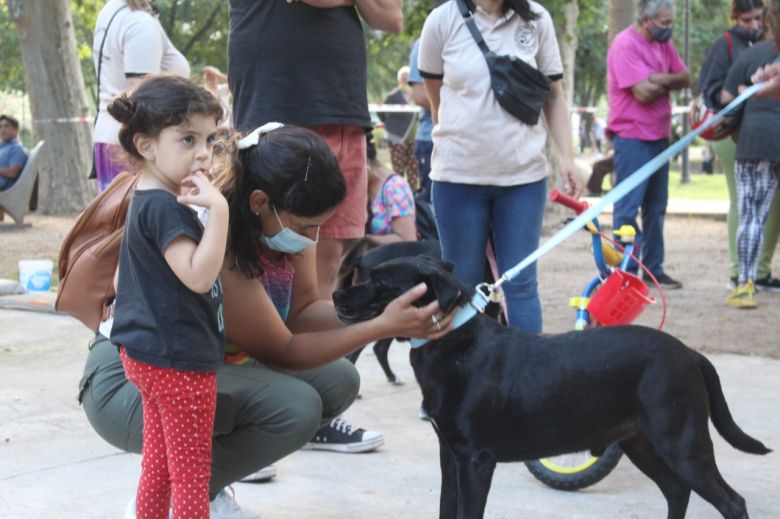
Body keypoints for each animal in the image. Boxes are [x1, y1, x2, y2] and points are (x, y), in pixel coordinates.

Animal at [332, 256, 772, 519]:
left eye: (381, 281)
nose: (335, 293)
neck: (454, 343)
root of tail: (690, 353)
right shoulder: (450, 455)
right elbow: (445, 508)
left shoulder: (476, 459)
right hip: (640, 442)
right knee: (677, 490)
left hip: (682, 443)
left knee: (731, 501)